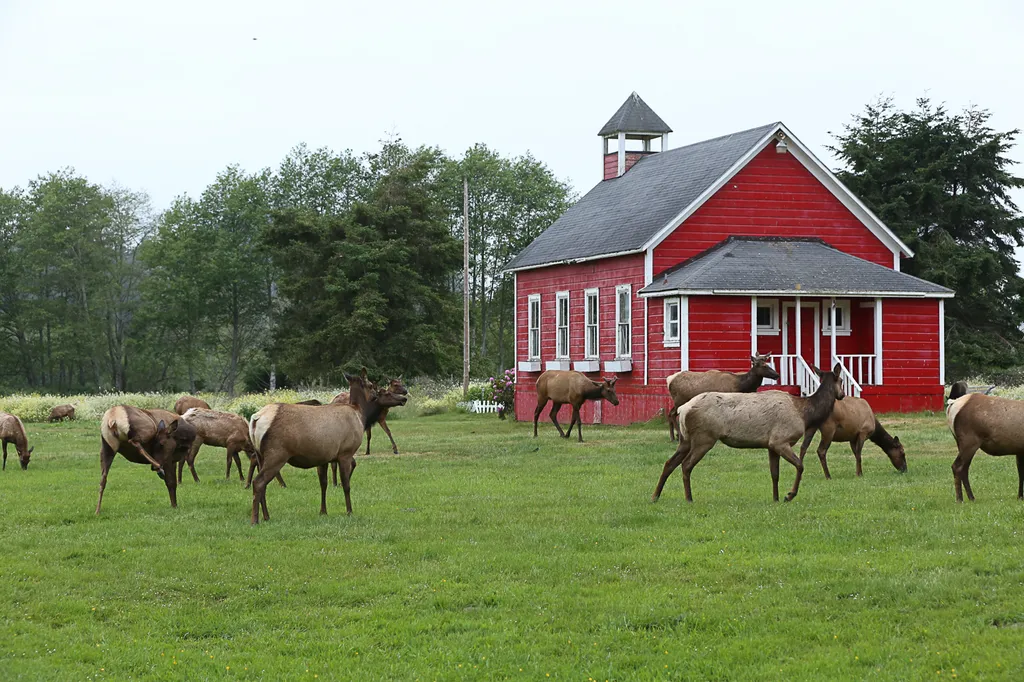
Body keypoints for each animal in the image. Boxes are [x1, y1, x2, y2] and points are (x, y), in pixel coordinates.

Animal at [247, 373, 408, 524]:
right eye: (384, 392)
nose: (404, 398)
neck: (361, 416)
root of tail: (255, 419)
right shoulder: (345, 453)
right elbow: (346, 484)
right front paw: (349, 511)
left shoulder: (323, 457)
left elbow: (323, 484)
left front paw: (323, 511)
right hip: (277, 454)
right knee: (259, 482)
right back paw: (255, 520)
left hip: (261, 455)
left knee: (262, 483)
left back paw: (266, 516)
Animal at [652, 363, 845, 504]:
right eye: (841, 380)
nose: (842, 395)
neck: (805, 414)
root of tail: (684, 409)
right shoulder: (780, 440)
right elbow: (800, 465)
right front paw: (789, 495)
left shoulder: (771, 445)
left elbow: (775, 474)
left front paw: (775, 498)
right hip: (704, 437)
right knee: (686, 465)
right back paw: (689, 498)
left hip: (686, 439)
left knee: (669, 463)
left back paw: (655, 496)